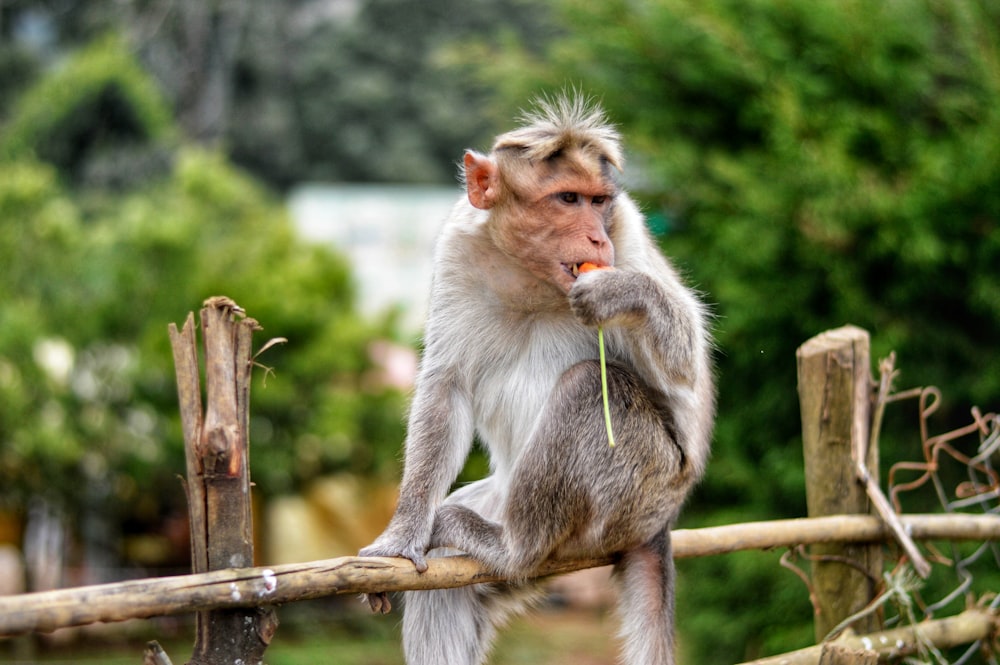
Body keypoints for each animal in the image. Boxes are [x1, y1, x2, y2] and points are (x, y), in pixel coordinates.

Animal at [360, 94, 712, 665]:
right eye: (568, 198)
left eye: (598, 201)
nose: (596, 238)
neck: (531, 274)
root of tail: (661, 520)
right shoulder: (459, 247)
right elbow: (446, 387)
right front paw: (401, 533)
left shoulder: (629, 231)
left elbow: (685, 373)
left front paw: (621, 292)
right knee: (445, 591)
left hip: (639, 495)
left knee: (588, 386)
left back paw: (514, 548)